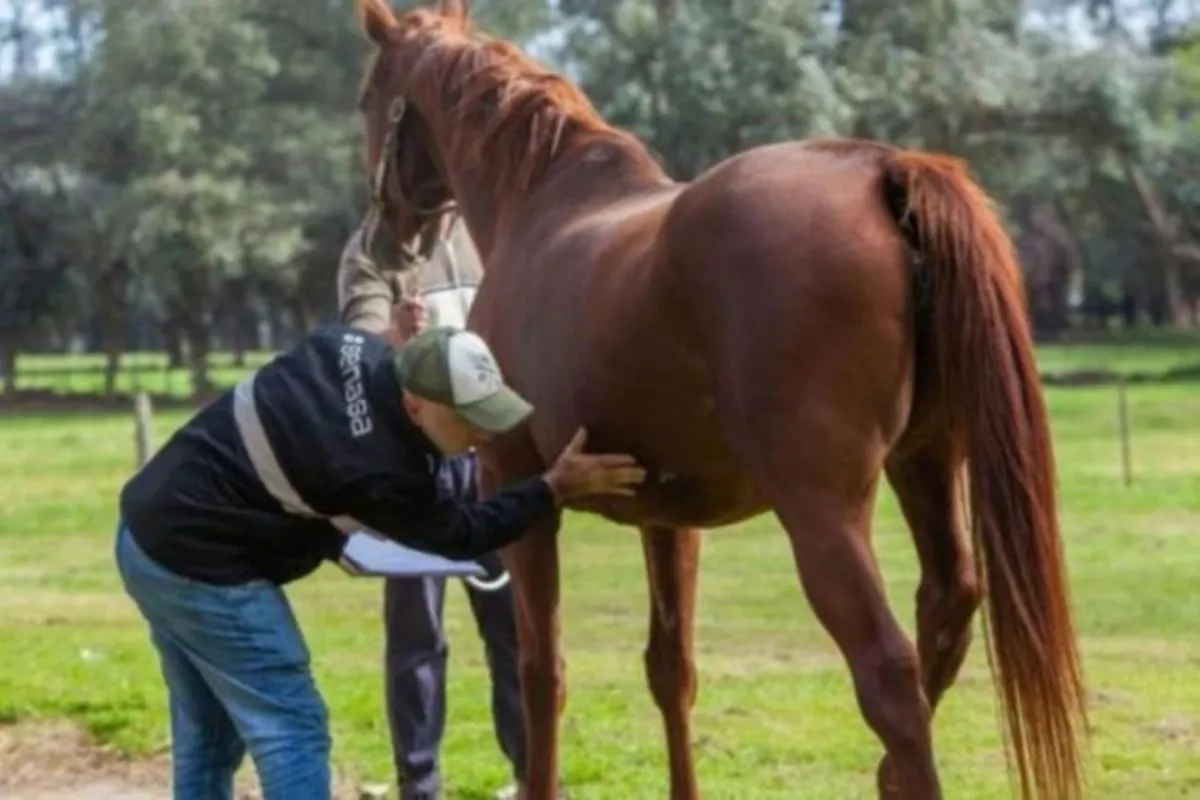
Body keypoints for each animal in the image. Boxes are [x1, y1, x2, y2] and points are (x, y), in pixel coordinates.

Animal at [350, 3, 1094, 796]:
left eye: (368, 96)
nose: (384, 240)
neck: (541, 206)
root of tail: (882, 171)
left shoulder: (518, 487)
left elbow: (541, 671)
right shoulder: (669, 519)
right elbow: (671, 670)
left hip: (822, 511)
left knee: (889, 675)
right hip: (926, 463)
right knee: (944, 612)